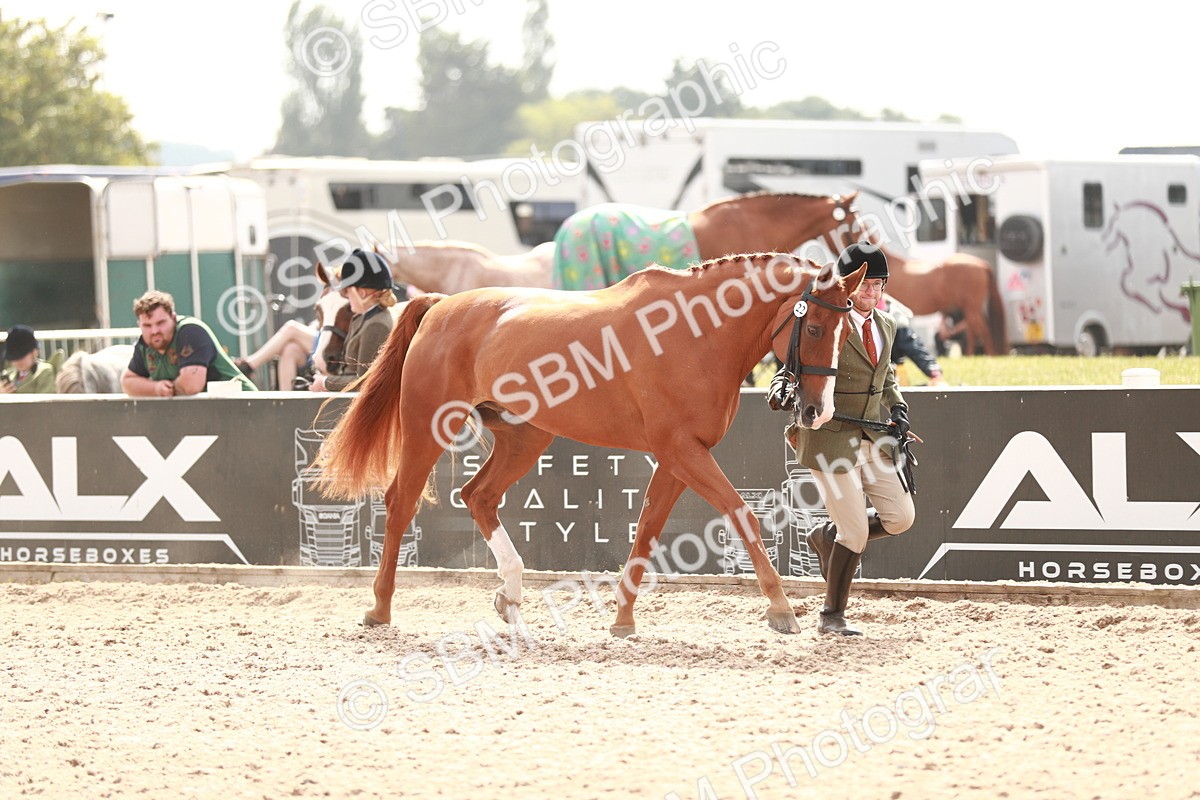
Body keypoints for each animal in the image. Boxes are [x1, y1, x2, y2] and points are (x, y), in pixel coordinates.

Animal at [314, 252, 868, 637]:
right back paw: (380, 608)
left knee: (478, 496)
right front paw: (780, 610)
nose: (817, 412)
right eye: (814, 327)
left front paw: (622, 619)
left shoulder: (678, 455)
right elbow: (741, 514)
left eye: (848, 331)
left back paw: (511, 599)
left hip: (525, 437)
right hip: (430, 427)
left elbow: (647, 529)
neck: (695, 334)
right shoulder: (682, 451)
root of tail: (439, 305)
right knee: (401, 502)